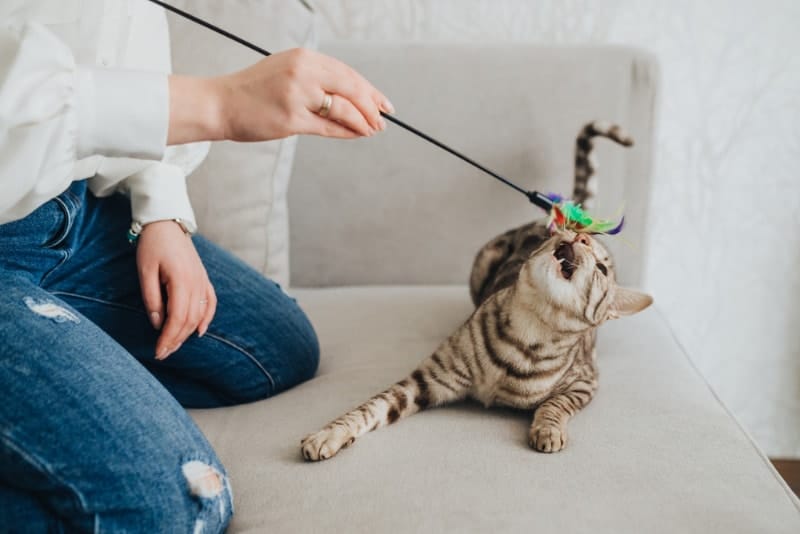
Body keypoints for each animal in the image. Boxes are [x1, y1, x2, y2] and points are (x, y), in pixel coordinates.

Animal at [300, 120, 648, 460]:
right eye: (557, 235)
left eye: (602, 269)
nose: (582, 237)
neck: (528, 332)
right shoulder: (424, 381)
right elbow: (369, 407)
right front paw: (329, 434)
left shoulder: (585, 382)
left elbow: (556, 404)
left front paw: (548, 430)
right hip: (482, 260)